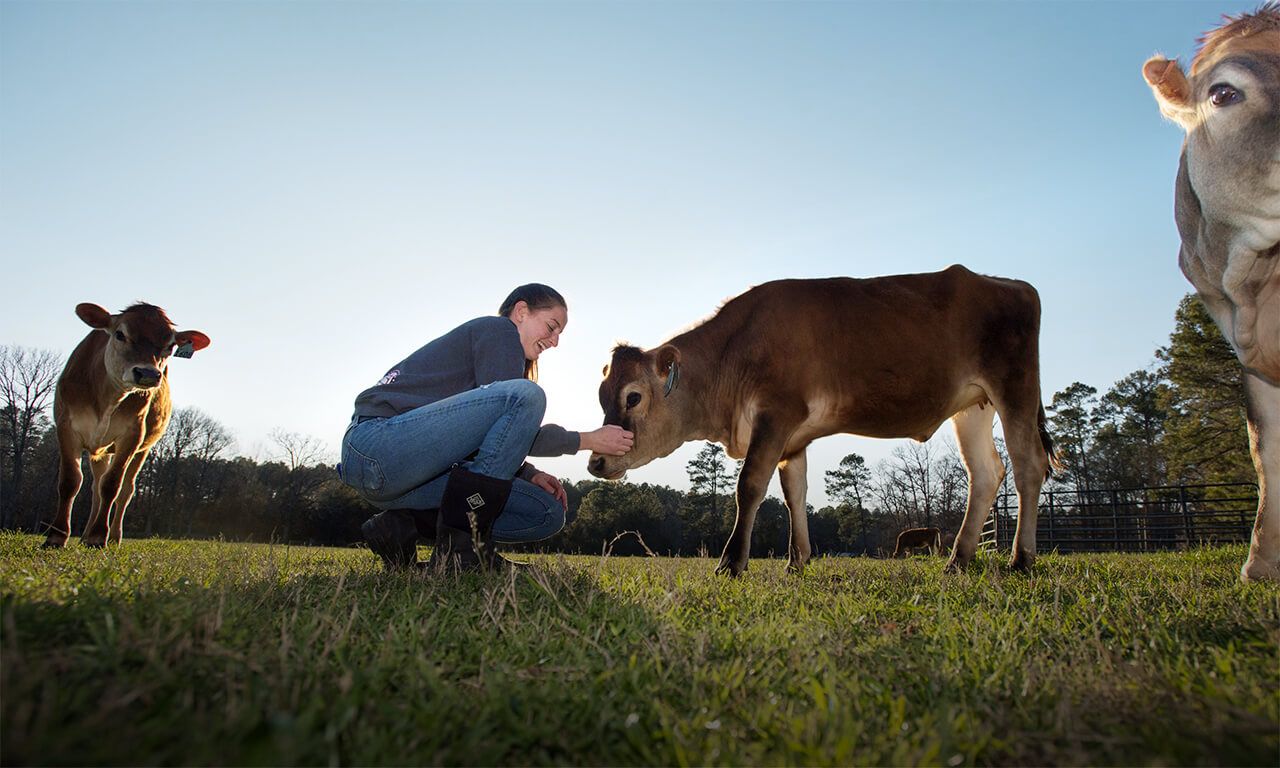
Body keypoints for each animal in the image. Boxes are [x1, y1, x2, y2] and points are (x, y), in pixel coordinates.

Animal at [42, 303, 208, 547]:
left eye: (170, 346)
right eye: (120, 334)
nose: (147, 373)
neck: (108, 397)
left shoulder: (132, 435)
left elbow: (112, 485)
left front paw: (98, 537)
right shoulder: (65, 425)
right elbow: (70, 480)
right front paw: (56, 536)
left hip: (144, 448)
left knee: (125, 489)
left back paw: (112, 537)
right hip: (99, 449)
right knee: (95, 487)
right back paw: (84, 535)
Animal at [588, 263, 1059, 576]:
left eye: (633, 397)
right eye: (602, 396)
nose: (596, 461)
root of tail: (1010, 283)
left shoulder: (777, 414)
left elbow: (750, 486)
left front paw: (731, 563)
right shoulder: (793, 438)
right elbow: (794, 493)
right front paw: (797, 562)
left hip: (1014, 388)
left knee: (1027, 465)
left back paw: (1021, 559)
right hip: (973, 405)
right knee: (986, 472)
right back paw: (958, 560)